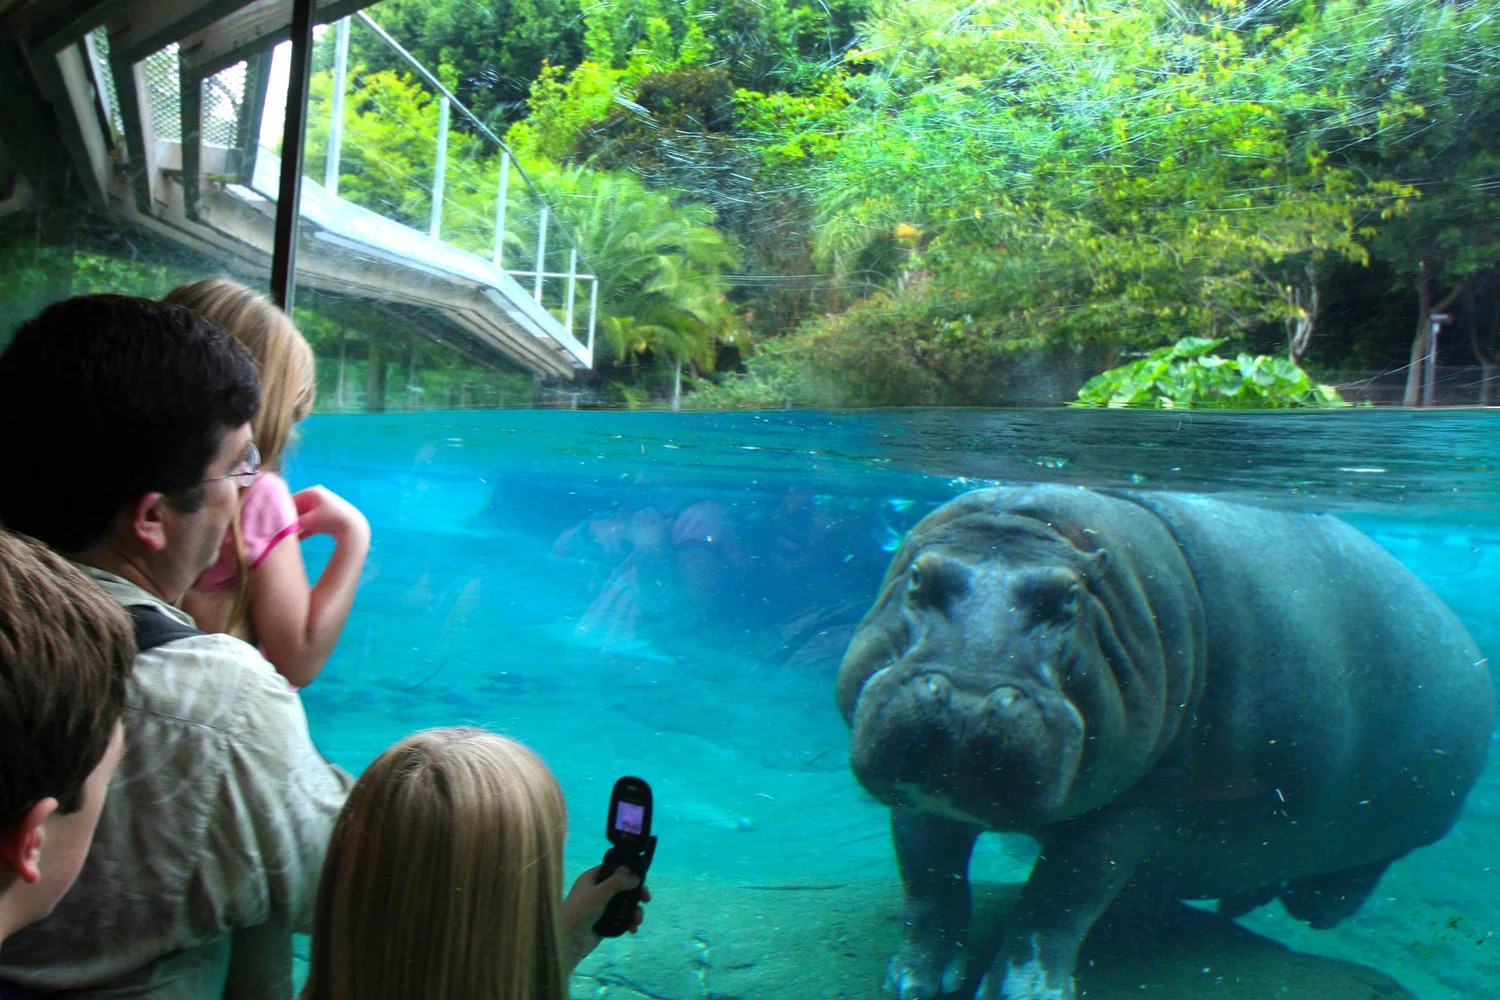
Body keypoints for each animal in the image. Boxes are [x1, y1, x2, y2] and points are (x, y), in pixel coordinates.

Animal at [836, 485, 1493, 1000]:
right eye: (917, 577)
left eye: (1069, 599)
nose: (969, 700)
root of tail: (1469, 645)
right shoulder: (915, 791)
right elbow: (929, 880)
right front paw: (913, 982)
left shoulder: (1136, 802)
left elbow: (1061, 896)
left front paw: (1021, 992)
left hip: (1401, 824)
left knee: (1352, 879)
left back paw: (1302, 905)